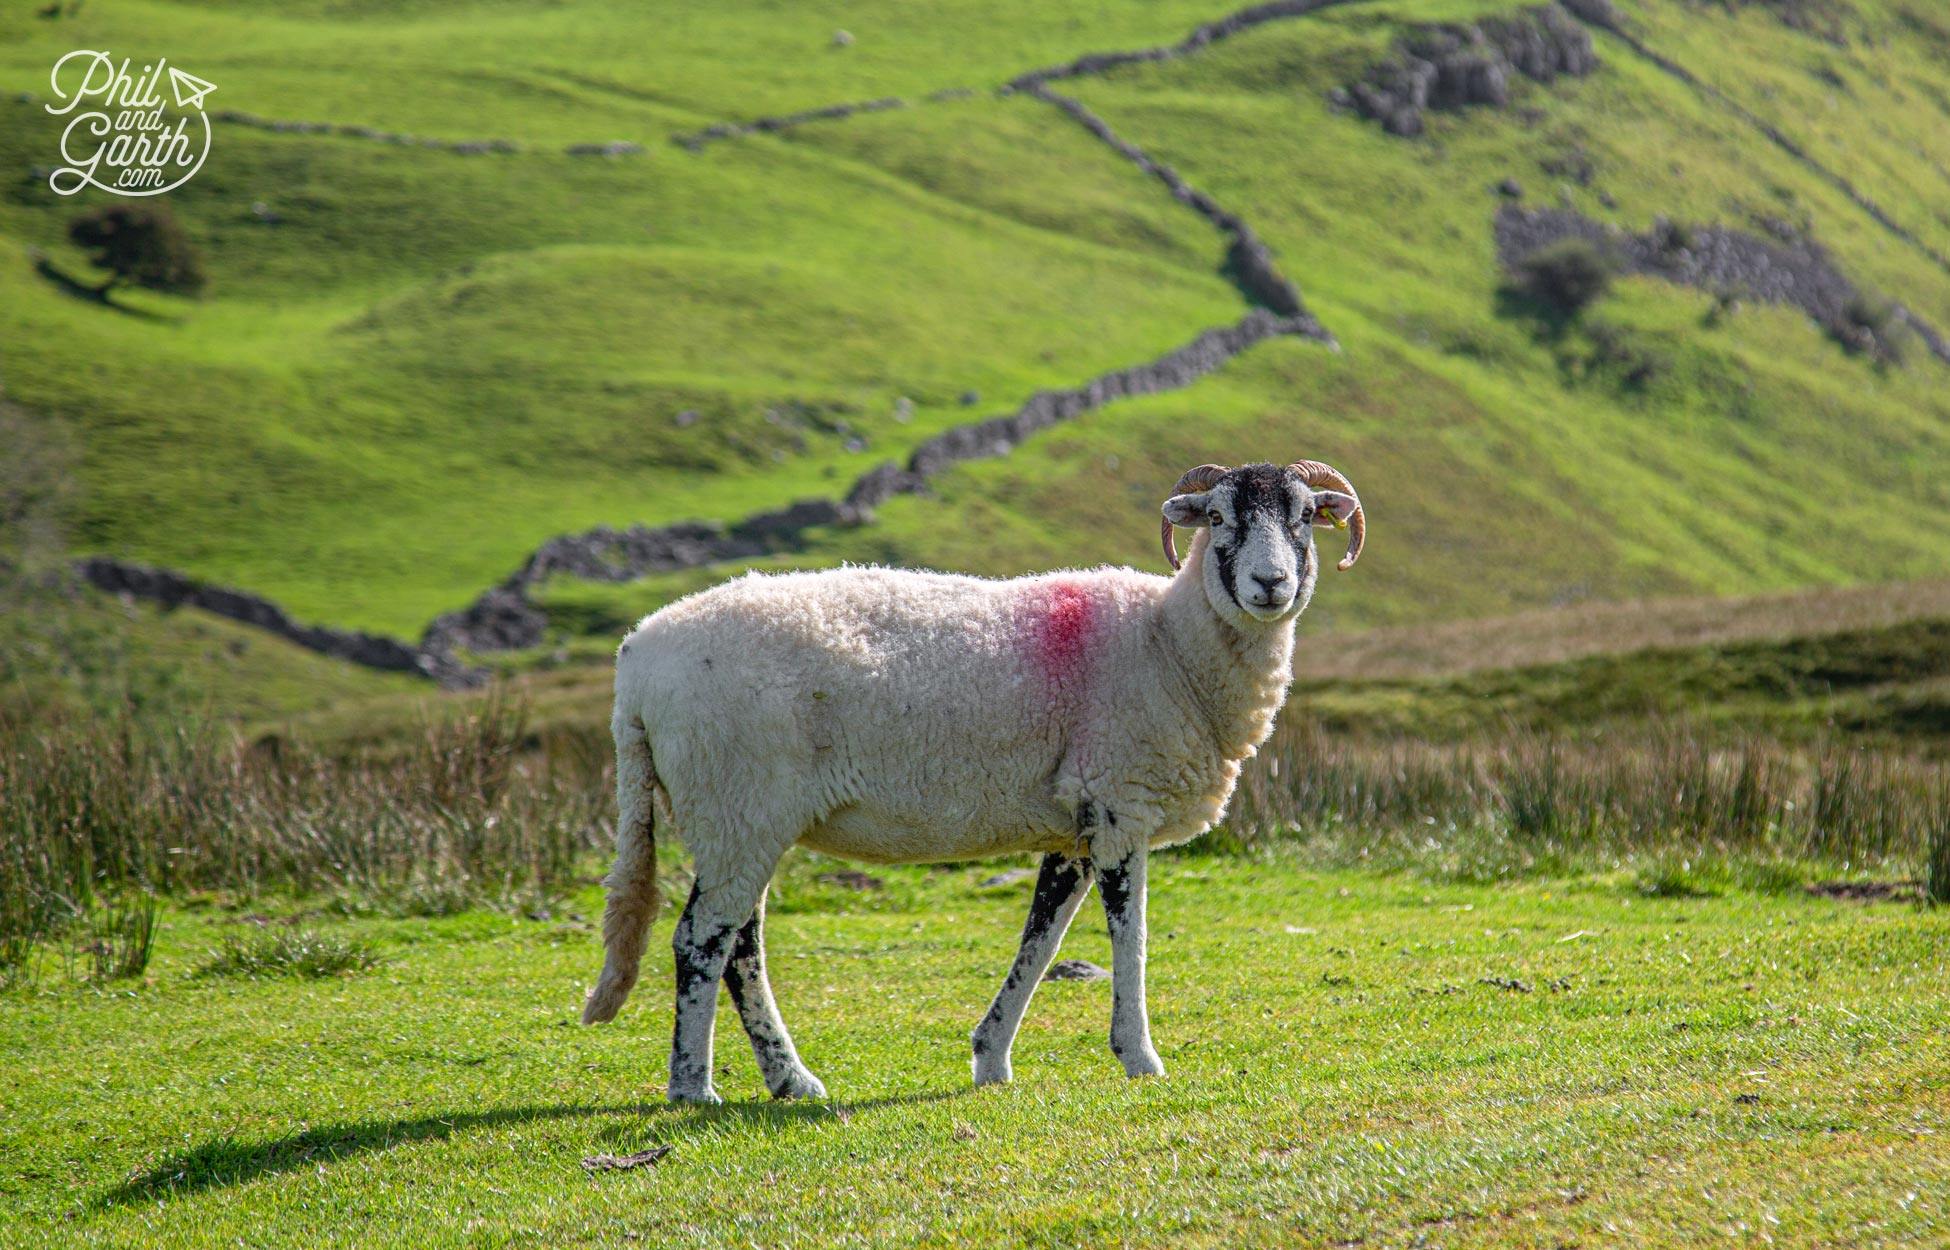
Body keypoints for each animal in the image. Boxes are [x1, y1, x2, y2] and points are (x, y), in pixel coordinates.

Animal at [585, 460, 1365, 1099]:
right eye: (1219, 517)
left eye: (1304, 516)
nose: (1271, 584)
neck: (1167, 642)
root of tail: (635, 661)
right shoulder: (1120, 805)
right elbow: (1130, 936)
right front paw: (1140, 1057)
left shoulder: (1075, 825)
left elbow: (1041, 941)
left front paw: (991, 1057)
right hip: (736, 802)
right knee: (701, 940)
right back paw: (694, 1086)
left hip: (742, 817)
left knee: (738, 944)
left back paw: (789, 1080)